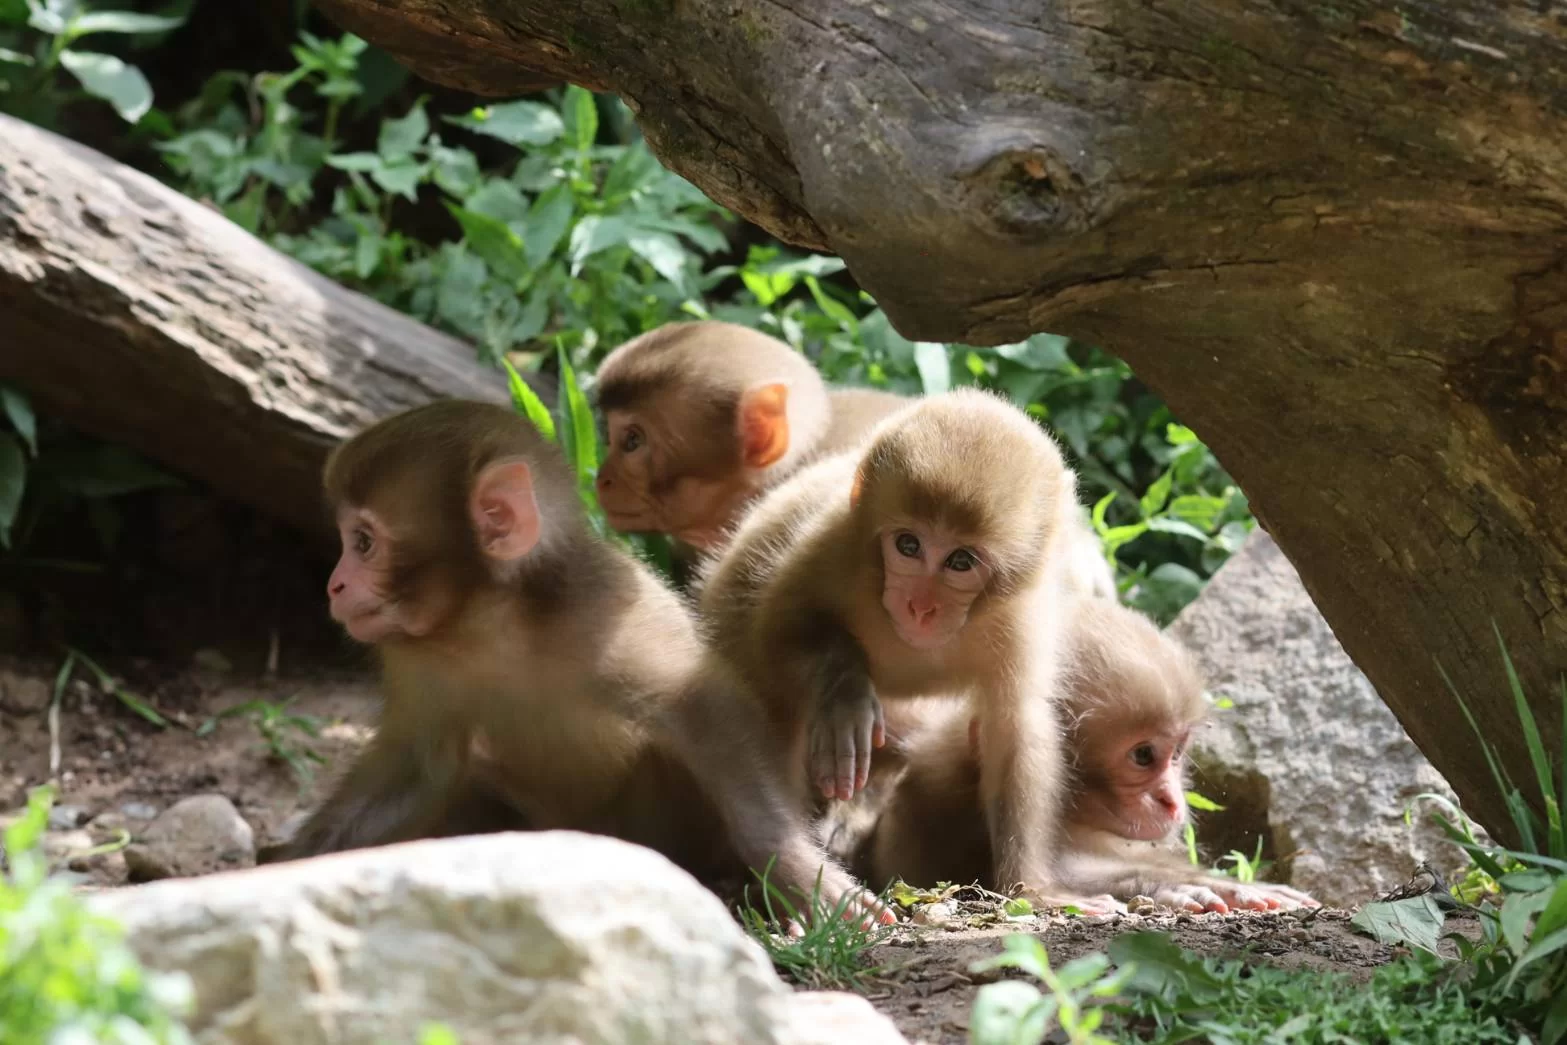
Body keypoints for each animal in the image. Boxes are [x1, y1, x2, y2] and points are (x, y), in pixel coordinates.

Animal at [263, 400, 883, 922]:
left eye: (364, 542)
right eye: (348, 539)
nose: (336, 585)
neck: (489, 623)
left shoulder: (605, 611)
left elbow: (703, 710)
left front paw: (792, 864)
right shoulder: (418, 658)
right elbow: (420, 763)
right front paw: (292, 863)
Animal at [697, 387, 1109, 910]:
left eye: (960, 561)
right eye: (909, 545)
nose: (920, 606)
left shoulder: (1023, 616)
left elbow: (1015, 726)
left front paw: (1034, 889)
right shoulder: (832, 549)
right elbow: (775, 636)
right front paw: (846, 692)